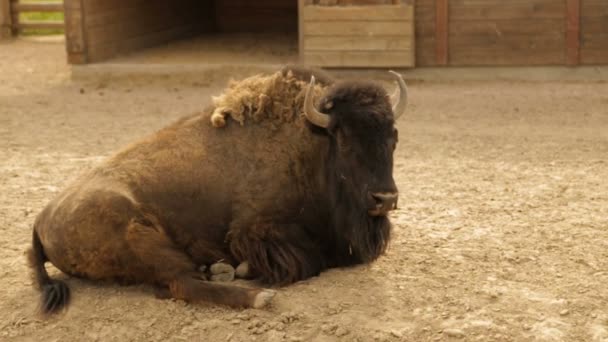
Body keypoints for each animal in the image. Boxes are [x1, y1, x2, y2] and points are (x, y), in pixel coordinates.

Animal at [28, 65, 408, 314]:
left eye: (393, 136)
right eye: (344, 139)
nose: (385, 198)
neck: (310, 143)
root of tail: (41, 220)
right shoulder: (253, 230)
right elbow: (310, 259)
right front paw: (247, 271)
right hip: (139, 236)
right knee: (181, 283)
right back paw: (258, 296)